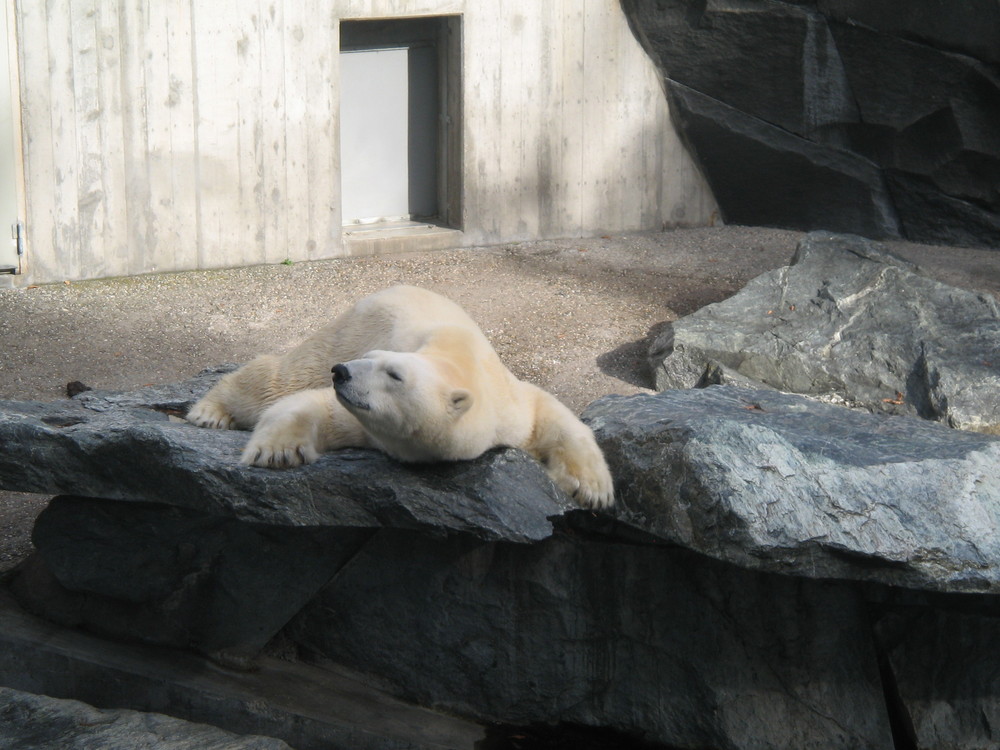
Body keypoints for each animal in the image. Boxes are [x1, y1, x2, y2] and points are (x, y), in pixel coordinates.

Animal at [184, 284, 612, 508]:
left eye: (393, 373)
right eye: (373, 358)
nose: (342, 372)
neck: (459, 361)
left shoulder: (508, 403)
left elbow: (554, 416)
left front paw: (591, 489)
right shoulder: (367, 419)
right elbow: (310, 404)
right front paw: (277, 452)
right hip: (345, 331)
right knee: (281, 377)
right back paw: (209, 411)